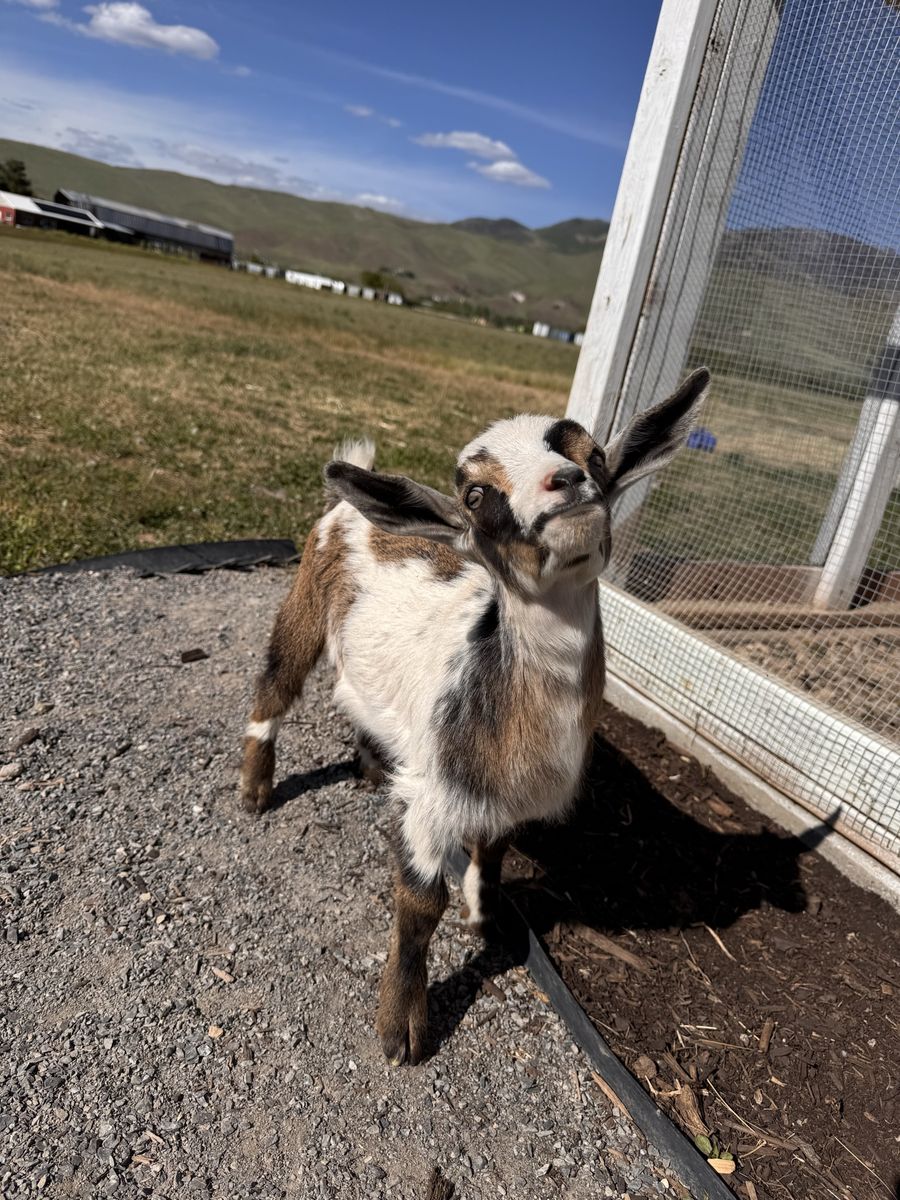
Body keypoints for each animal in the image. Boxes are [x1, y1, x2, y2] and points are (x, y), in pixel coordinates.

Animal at [240, 367, 710, 1065]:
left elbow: (493, 849)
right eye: (478, 492)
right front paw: (402, 1029)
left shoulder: (504, 796)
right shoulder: (433, 797)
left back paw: (371, 764)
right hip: (305, 595)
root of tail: (350, 501)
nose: (566, 482)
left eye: (594, 456)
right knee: (275, 684)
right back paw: (255, 790)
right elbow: (418, 904)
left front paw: (482, 916)